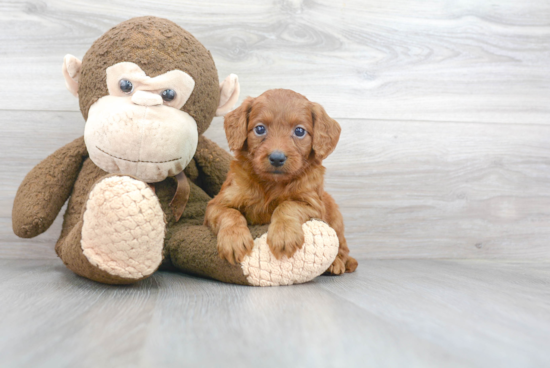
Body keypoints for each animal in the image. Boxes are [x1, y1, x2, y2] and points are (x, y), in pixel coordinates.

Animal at [205, 87, 360, 274]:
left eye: (299, 131)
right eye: (260, 129)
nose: (277, 158)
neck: (271, 184)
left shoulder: (314, 205)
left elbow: (287, 205)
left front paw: (284, 235)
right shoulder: (216, 204)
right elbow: (230, 213)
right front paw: (233, 239)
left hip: (335, 216)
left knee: (343, 248)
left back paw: (336, 263)